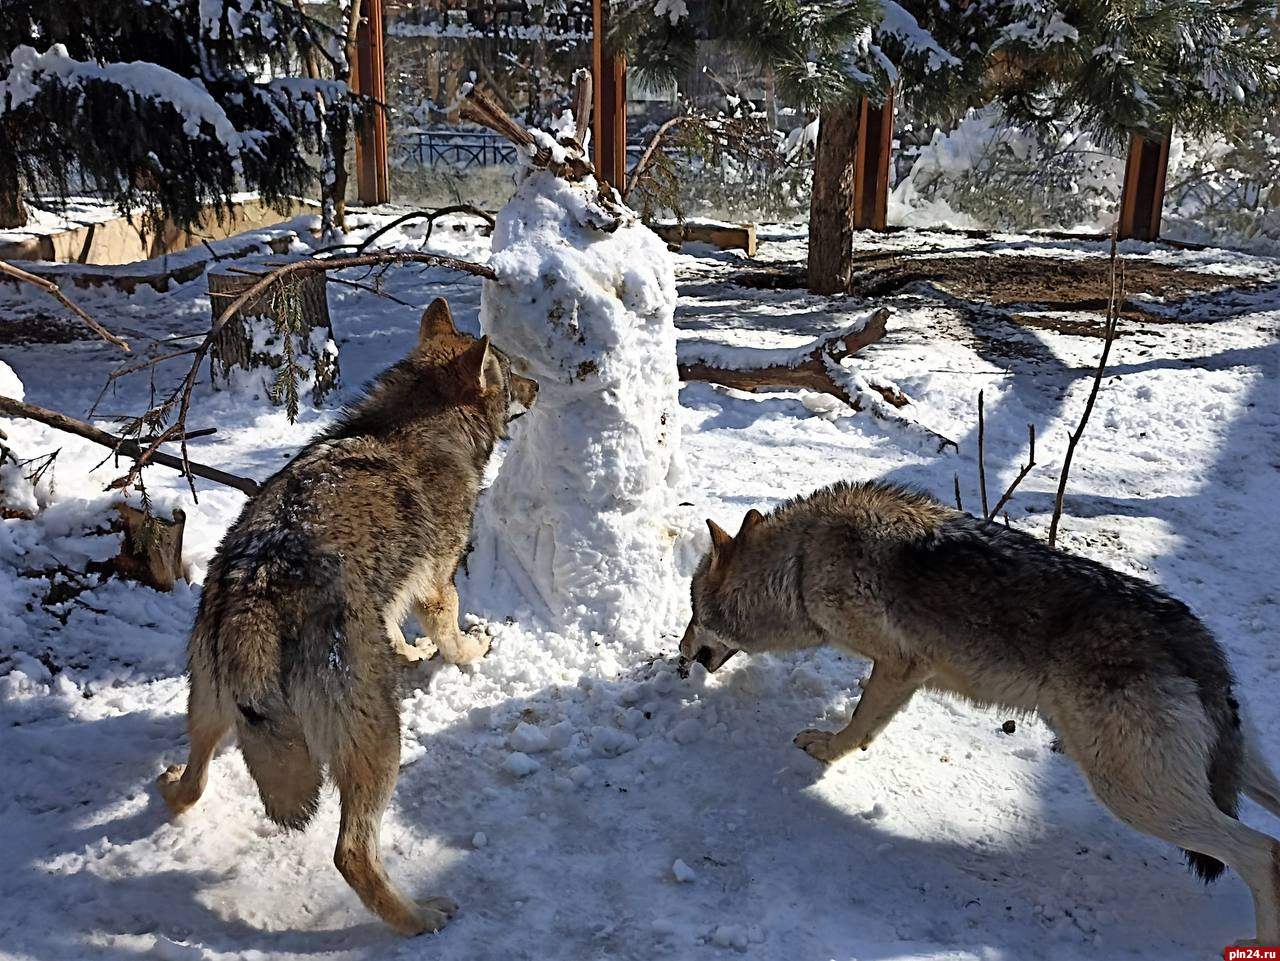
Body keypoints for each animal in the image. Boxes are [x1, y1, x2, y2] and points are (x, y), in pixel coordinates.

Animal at [157, 296, 537, 936]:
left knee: (196, 778)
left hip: (207, 709)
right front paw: (471, 648)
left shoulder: (390, 591)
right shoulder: (438, 583)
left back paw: (168, 789)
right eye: (511, 374)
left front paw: (408, 651)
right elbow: (452, 634)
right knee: (350, 853)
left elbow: (393, 626)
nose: (538, 387)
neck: (421, 421)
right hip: (380, 742)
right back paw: (420, 918)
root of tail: (253, 598)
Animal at [680, 481, 1280, 946]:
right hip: (1218, 774)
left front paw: (827, 750)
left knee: (1263, 852)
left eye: (690, 609)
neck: (802, 560)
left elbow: (859, 725)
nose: (679, 651)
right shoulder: (903, 673)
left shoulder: (900, 665)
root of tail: (1197, 644)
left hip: (1132, 794)